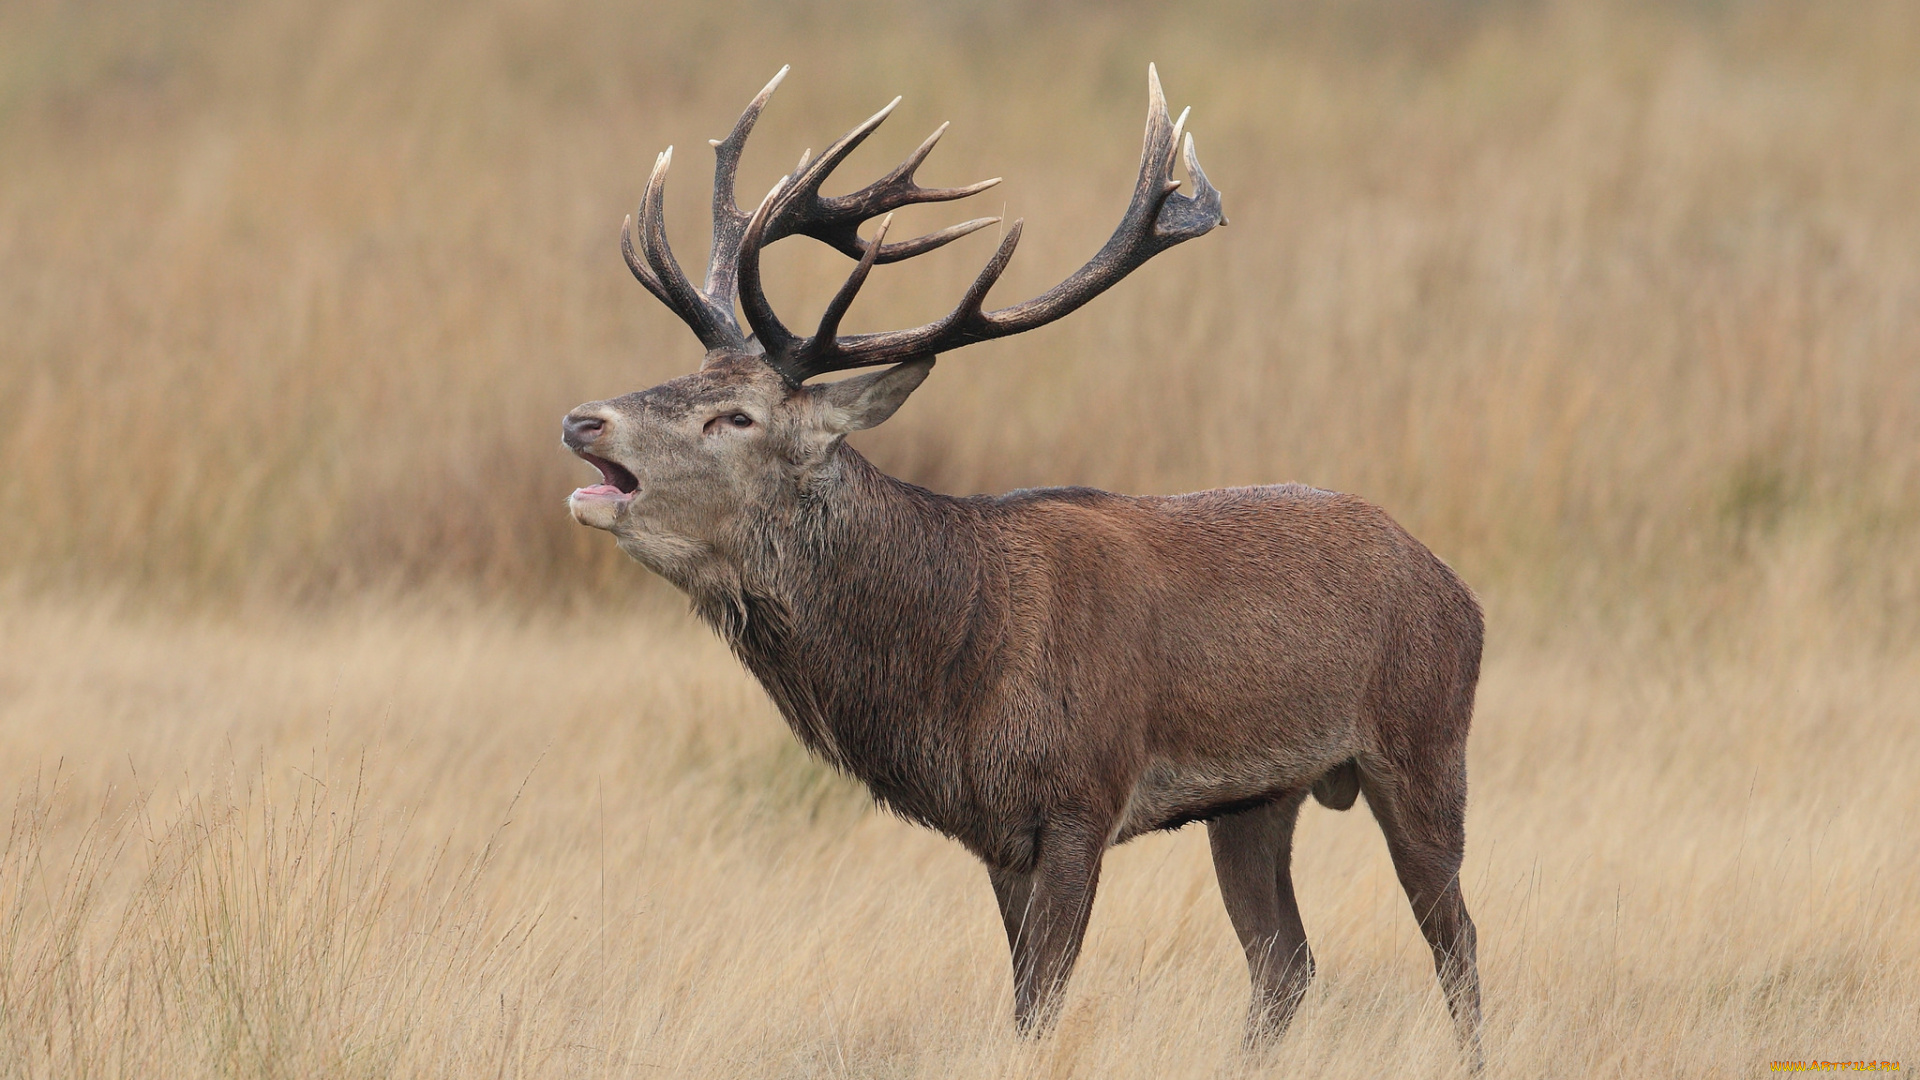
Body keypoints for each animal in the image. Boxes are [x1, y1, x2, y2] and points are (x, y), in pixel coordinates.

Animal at [560, 65, 1482, 1060]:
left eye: (735, 416)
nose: (583, 419)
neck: (956, 662)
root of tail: (1457, 588)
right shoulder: (996, 835)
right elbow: (1022, 1002)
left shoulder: (1082, 796)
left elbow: (1042, 1005)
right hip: (1258, 799)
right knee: (1286, 962)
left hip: (1425, 741)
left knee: (1456, 944)